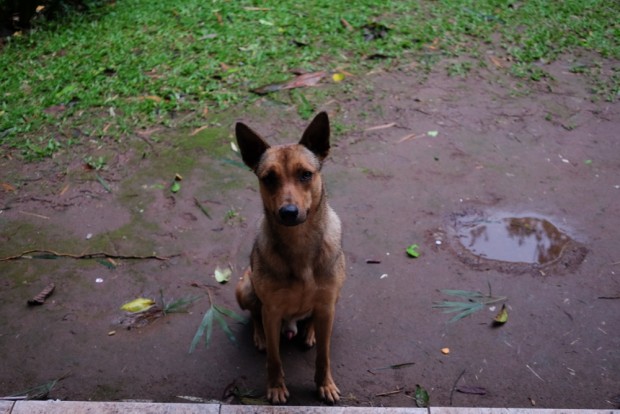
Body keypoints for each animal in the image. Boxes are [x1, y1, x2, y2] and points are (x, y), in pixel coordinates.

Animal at [235, 111, 346, 402]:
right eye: (268, 178)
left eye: (305, 174)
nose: (288, 212)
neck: (300, 244)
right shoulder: (272, 311)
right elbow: (274, 359)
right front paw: (275, 387)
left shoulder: (327, 303)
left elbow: (324, 356)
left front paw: (325, 385)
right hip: (244, 286)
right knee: (255, 314)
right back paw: (260, 336)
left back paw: (310, 331)